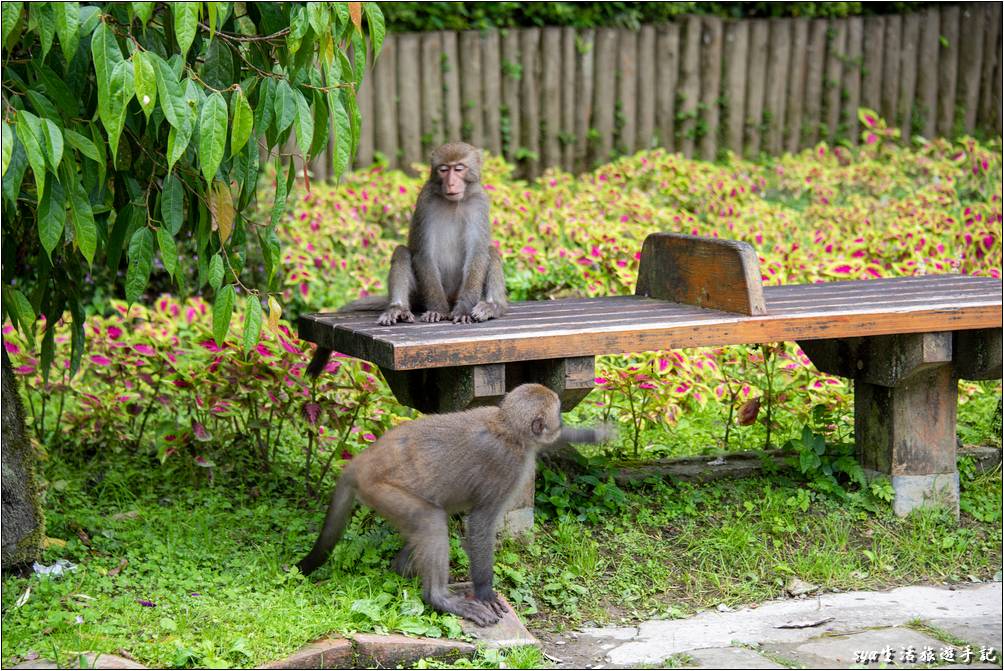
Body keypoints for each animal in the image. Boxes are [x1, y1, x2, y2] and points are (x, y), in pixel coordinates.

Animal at [293, 385, 614, 626]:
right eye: (557, 413)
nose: (561, 422)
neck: (507, 428)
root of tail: (360, 463)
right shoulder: (507, 466)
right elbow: (480, 523)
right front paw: (485, 592)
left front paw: (591, 434)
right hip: (381, 490)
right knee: (430, 519)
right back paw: (438, 597)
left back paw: (405, 570)